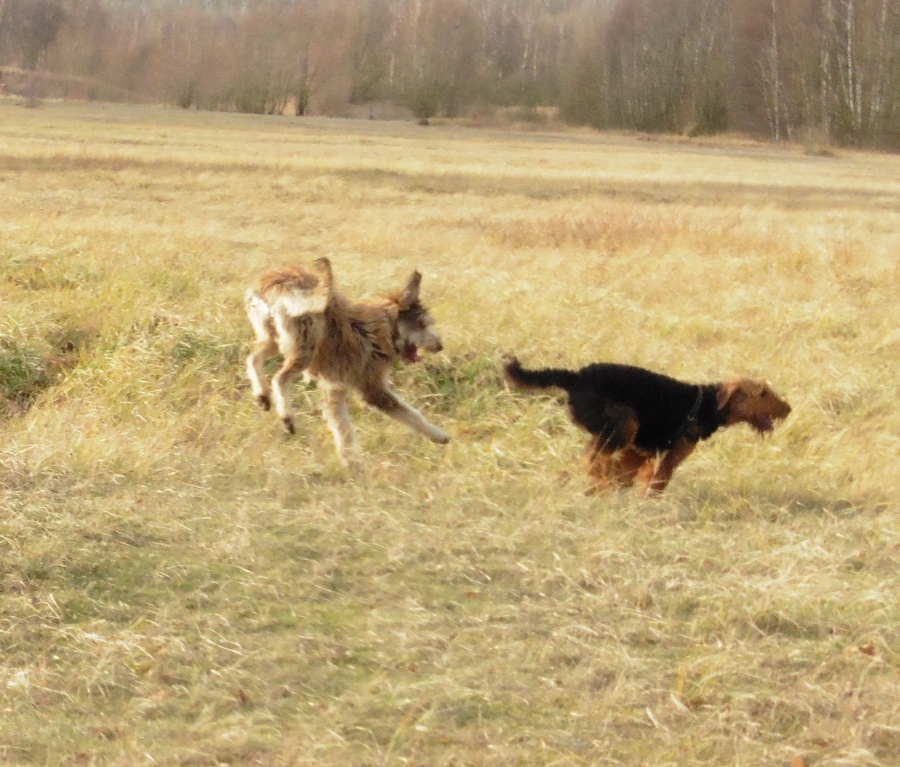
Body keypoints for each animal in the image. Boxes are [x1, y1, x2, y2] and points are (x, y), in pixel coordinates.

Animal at [245, 258, 449, 466]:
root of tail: (277, 281)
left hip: (272, 339)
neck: (382, 329)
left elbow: (343, 430)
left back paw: (262, 395)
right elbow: (411, 414)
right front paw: (438, 435)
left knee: (253, 359)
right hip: (305, 345)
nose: (440, 345)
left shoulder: (335, 391)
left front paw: (351, 463)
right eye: (423, 325)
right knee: (279, 379)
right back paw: (287, 417)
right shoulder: (373, 389)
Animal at [503, 356, 791, 495]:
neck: (704, 404)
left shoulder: (640, 454)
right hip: (624, 425)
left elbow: (628, 477)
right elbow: (654, 486)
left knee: (593, 459)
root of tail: (575, 376)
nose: (788, 409)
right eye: (762, 393)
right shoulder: (669, 457)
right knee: (592, 459)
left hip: (618, 432)